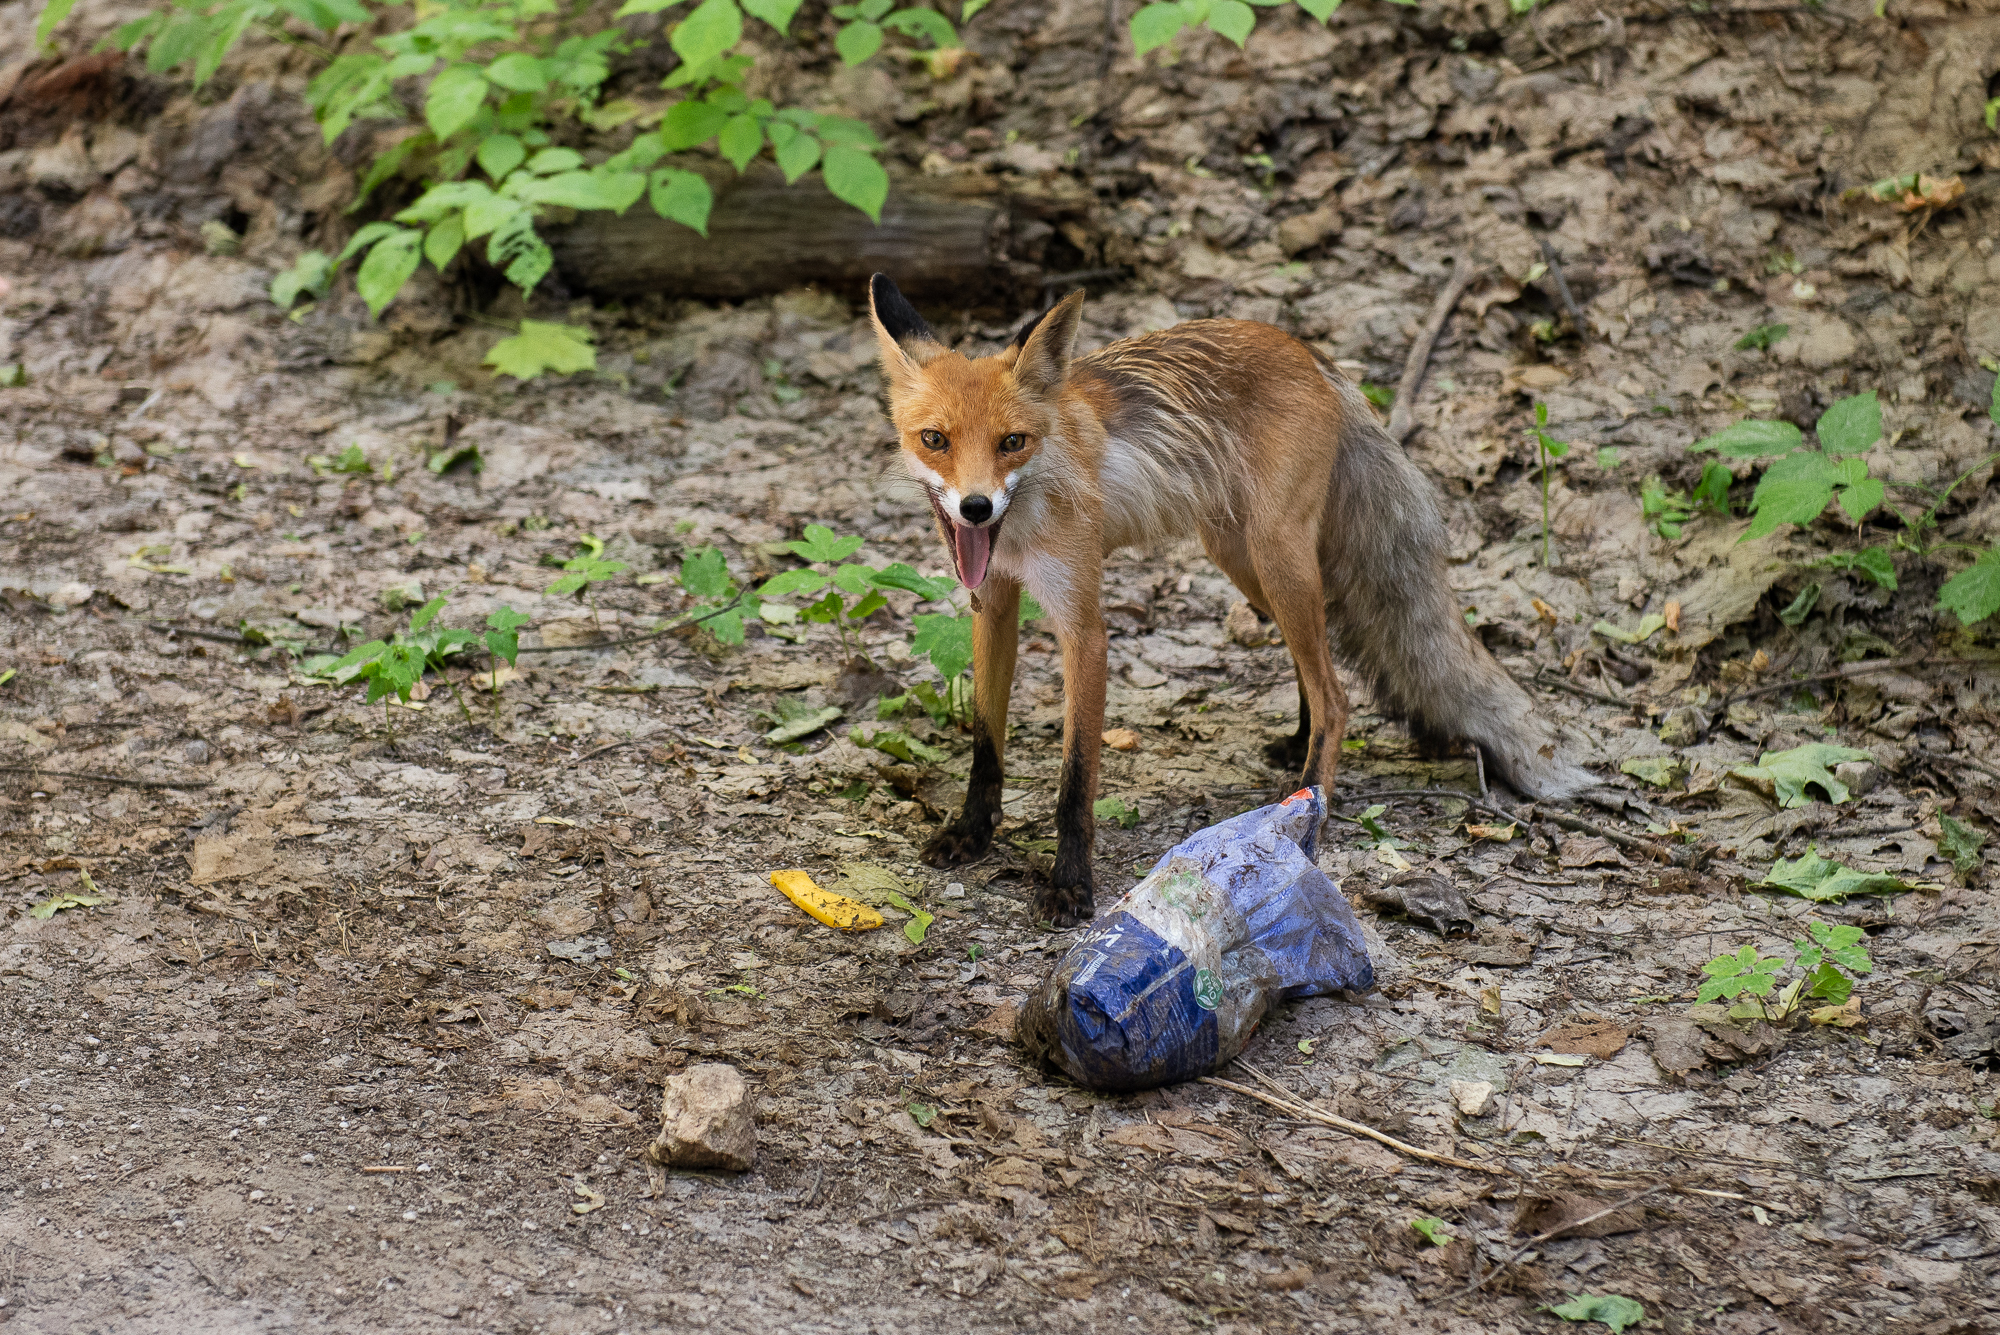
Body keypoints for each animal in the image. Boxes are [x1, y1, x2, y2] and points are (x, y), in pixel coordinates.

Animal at [866, 272, 1592, 927]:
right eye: (935, 440)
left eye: (1012, 442)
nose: (976, 507)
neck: (1022, 521)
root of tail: (1306, 348)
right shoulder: (992, 604)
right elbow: (986, 741)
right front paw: (971, 833)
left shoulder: (1085, 628)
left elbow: (1075, 782)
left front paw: (1070, 886)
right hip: (1243, 560)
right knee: (1313, 664)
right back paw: (1296, 749)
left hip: (1275, 554)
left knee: (1337, 695)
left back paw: (1305, 812)